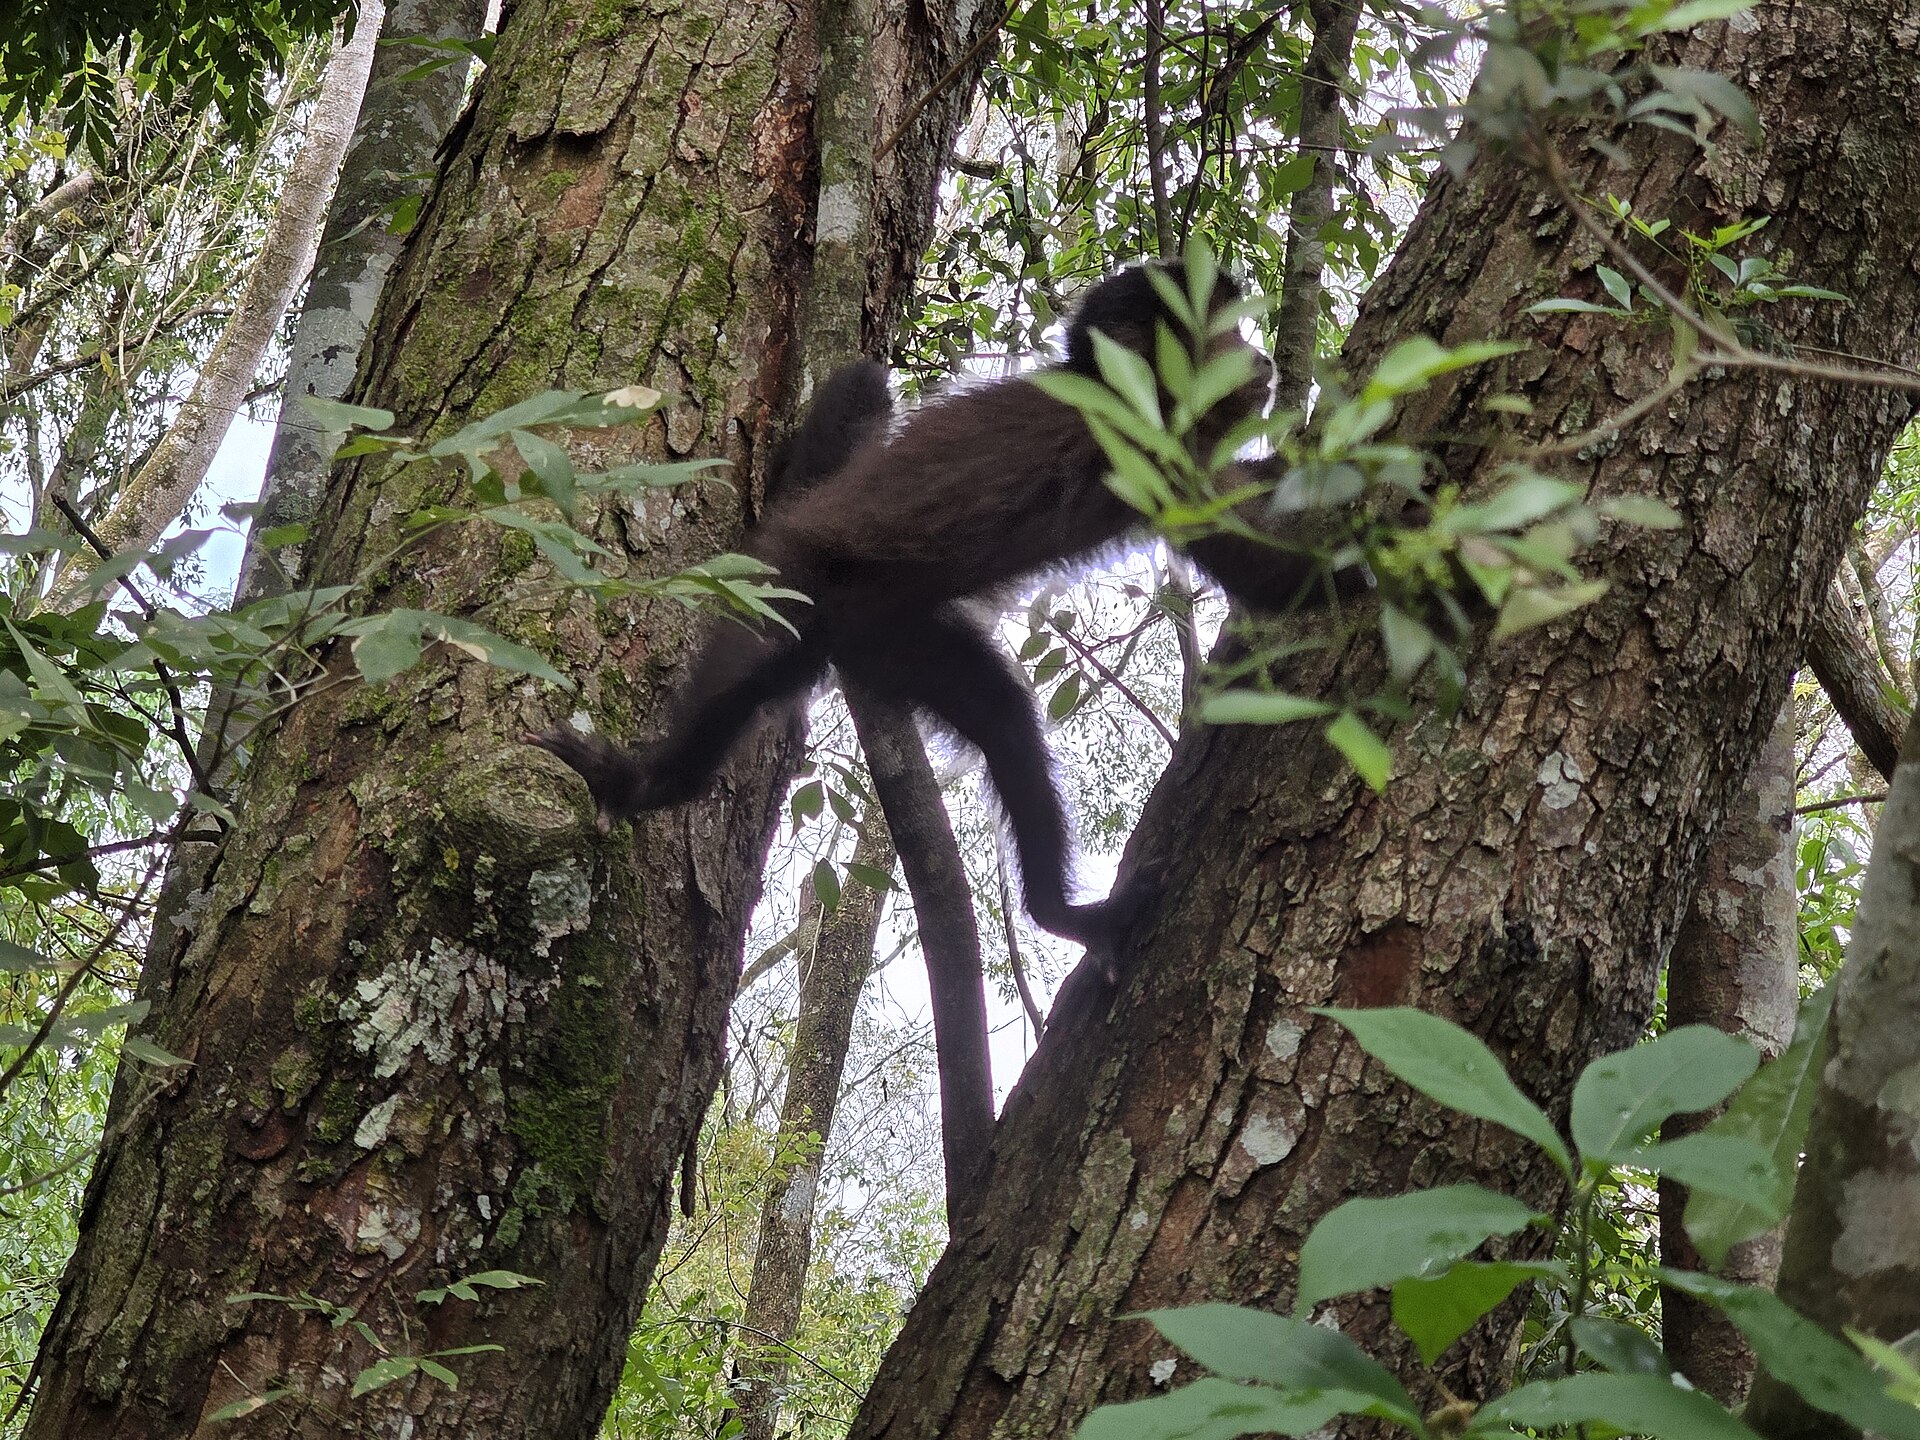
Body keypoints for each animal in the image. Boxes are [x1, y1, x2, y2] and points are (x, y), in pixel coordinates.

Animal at [531, 261, 1353, 961]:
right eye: (1225, 333)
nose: (1259, 360)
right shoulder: (1140, 441)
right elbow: (1282, 578)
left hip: (887, 636)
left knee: (999, 716)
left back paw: (1056, 911)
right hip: (795, 575)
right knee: (751, 660)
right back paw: (652, 784)